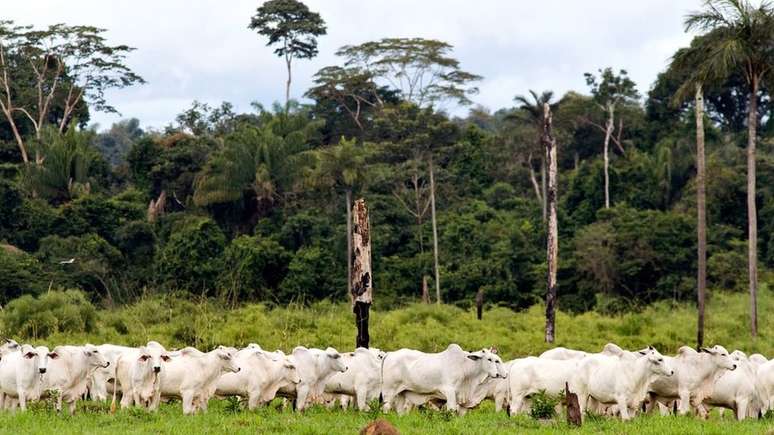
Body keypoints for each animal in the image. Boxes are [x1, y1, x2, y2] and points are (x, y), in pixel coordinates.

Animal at [380, 344, 510, 416]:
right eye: (490, 359)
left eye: (497, 359)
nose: (503, 374)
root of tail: (389, 354)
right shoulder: (449, 391)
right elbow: (451, 410)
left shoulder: (462, 401)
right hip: (388, 392)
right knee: (385, 408)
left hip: (401, 393)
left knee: (400, 411)